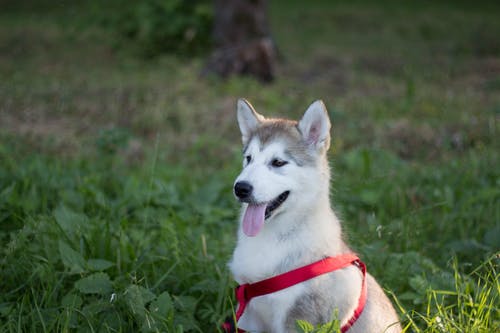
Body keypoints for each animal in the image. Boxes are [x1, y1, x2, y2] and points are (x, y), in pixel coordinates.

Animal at [227, 99, 402, 332]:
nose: (241, 188)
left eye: (278, 162)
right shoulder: (249, 311)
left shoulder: (299, 316)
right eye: (248, 158)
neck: (274, 238)